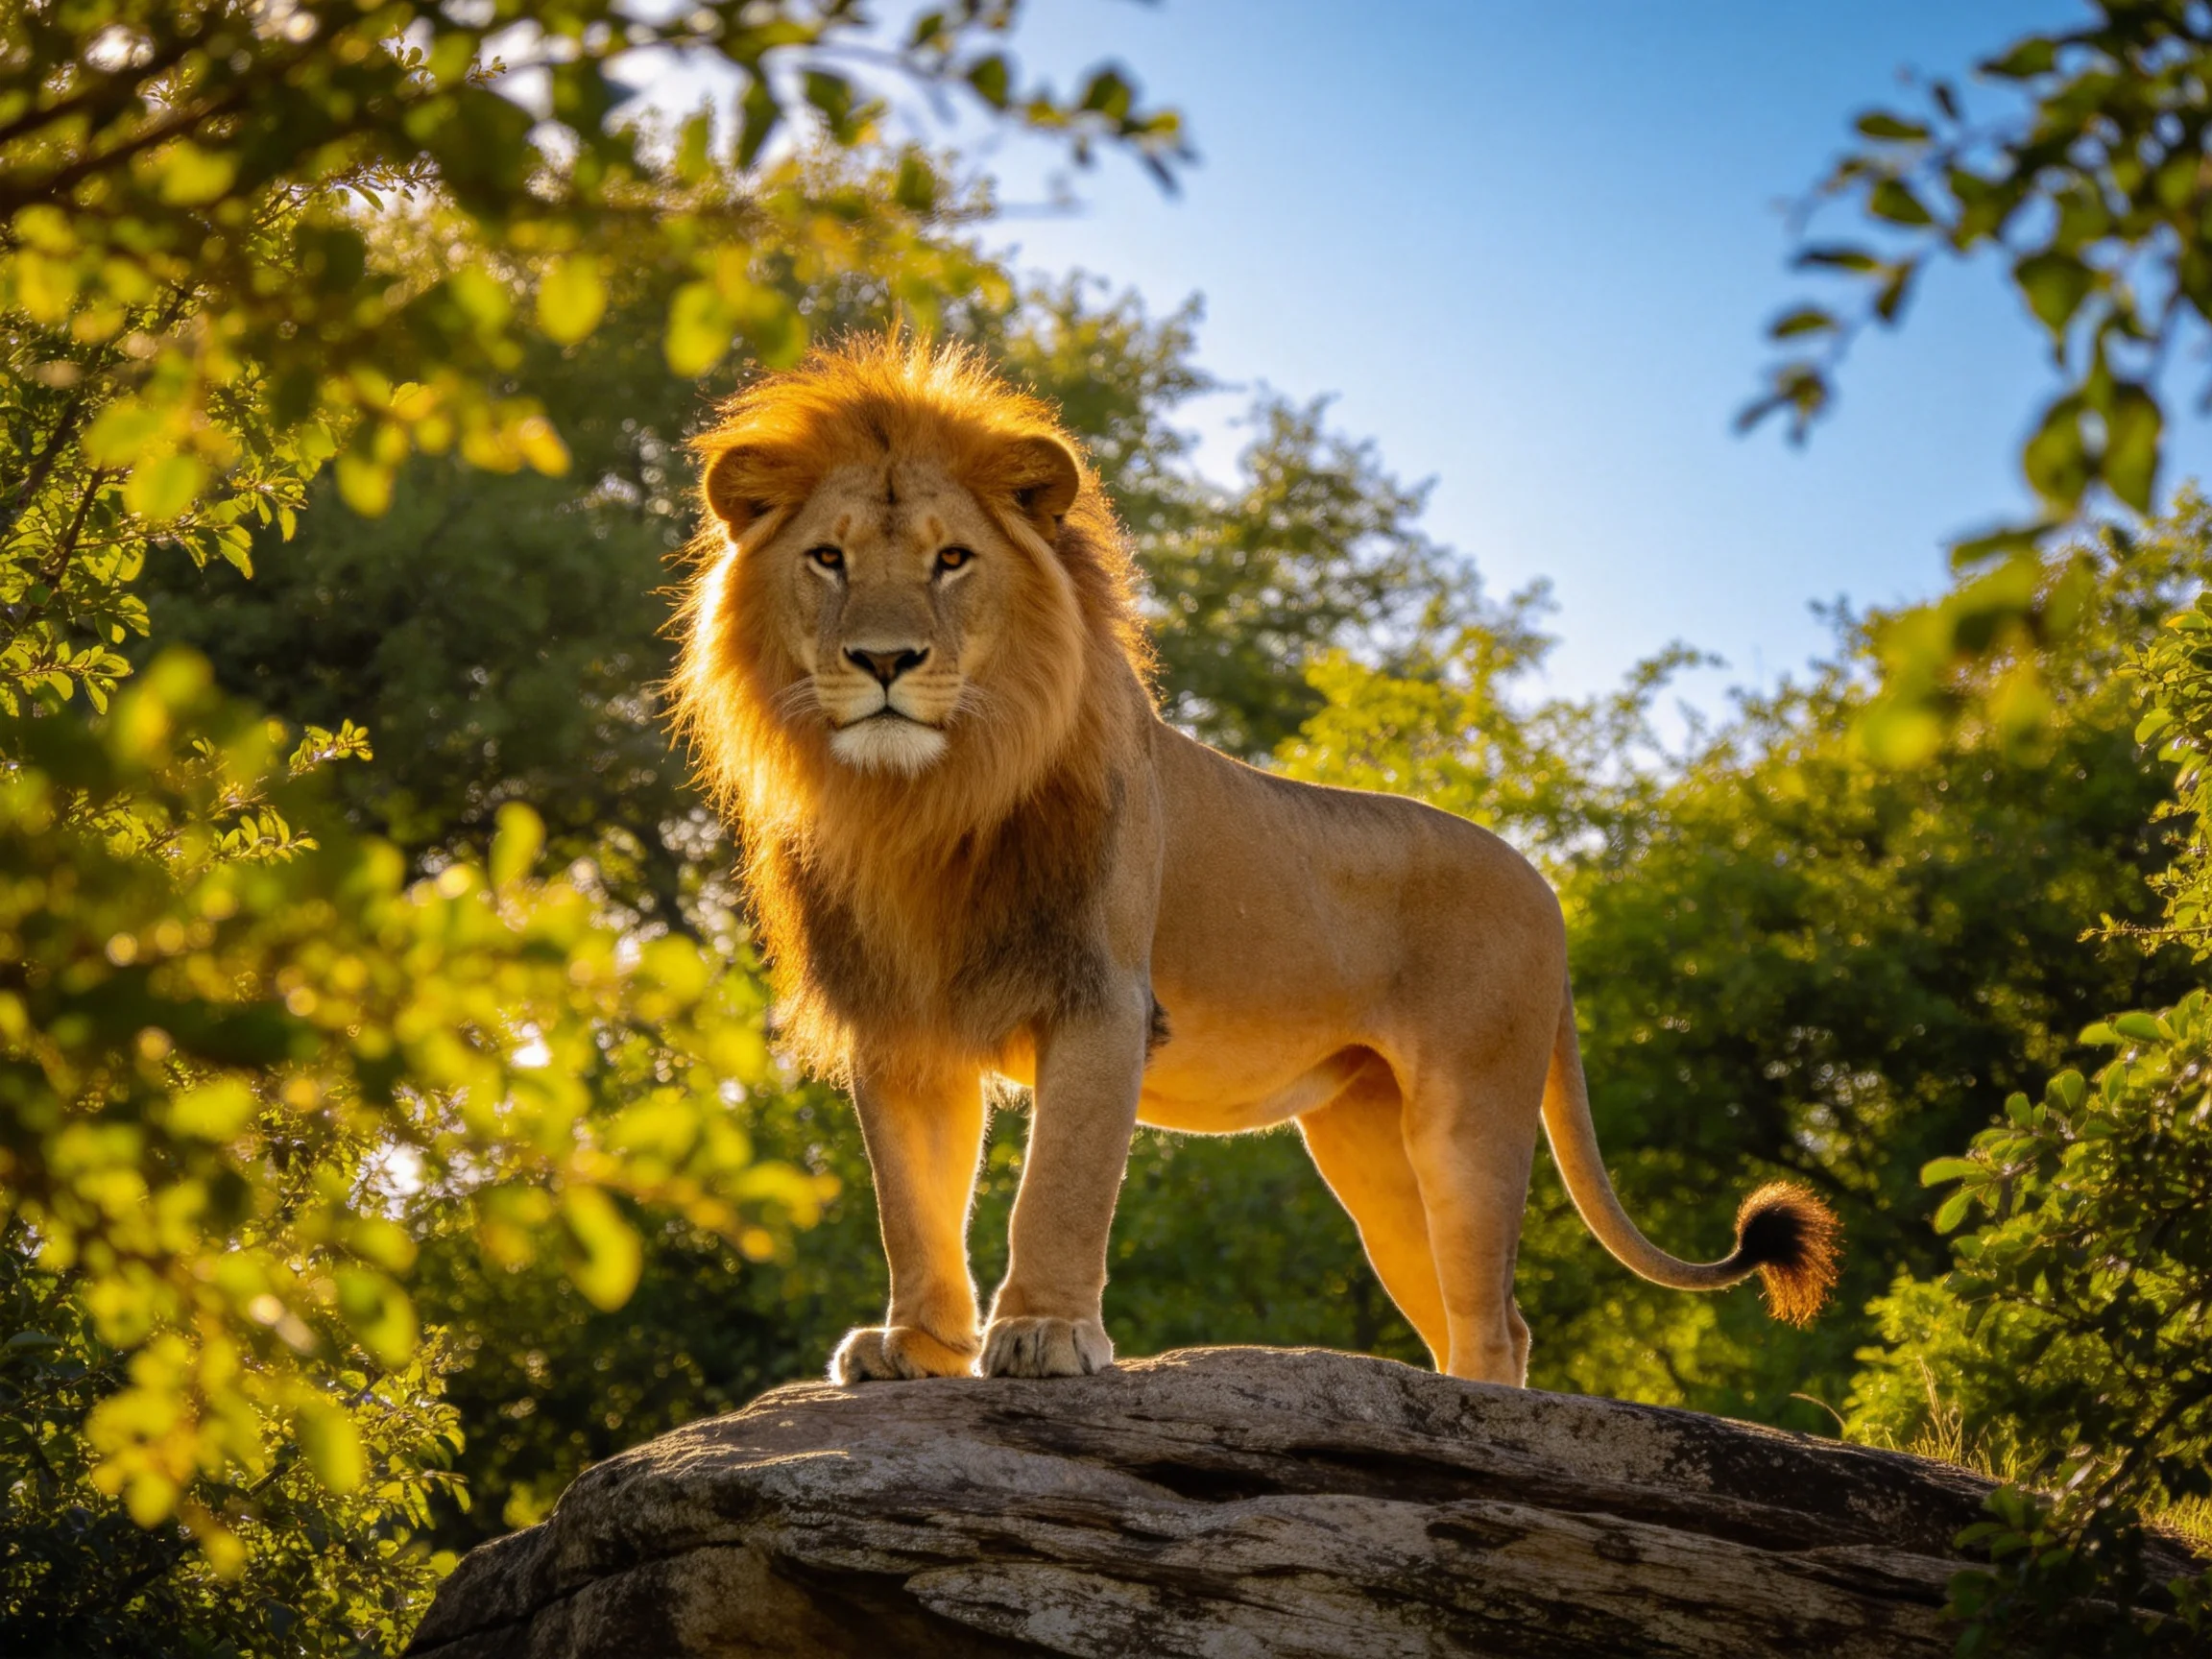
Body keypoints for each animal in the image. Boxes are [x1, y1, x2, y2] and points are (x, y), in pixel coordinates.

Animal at [671, 334, 1840, 1387]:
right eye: (829, 558)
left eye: (951, 559)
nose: (884, 661)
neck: (918, 804)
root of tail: (1544, 884)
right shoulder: (899, 1026)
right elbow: (911, 1206)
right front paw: (913, 1348)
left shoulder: (1101, 998)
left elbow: (1059, 1188)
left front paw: (1046, 1336)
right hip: (1367, 1147)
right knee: (1465, 1315)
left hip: (1470, 1117)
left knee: (1494, 1323)